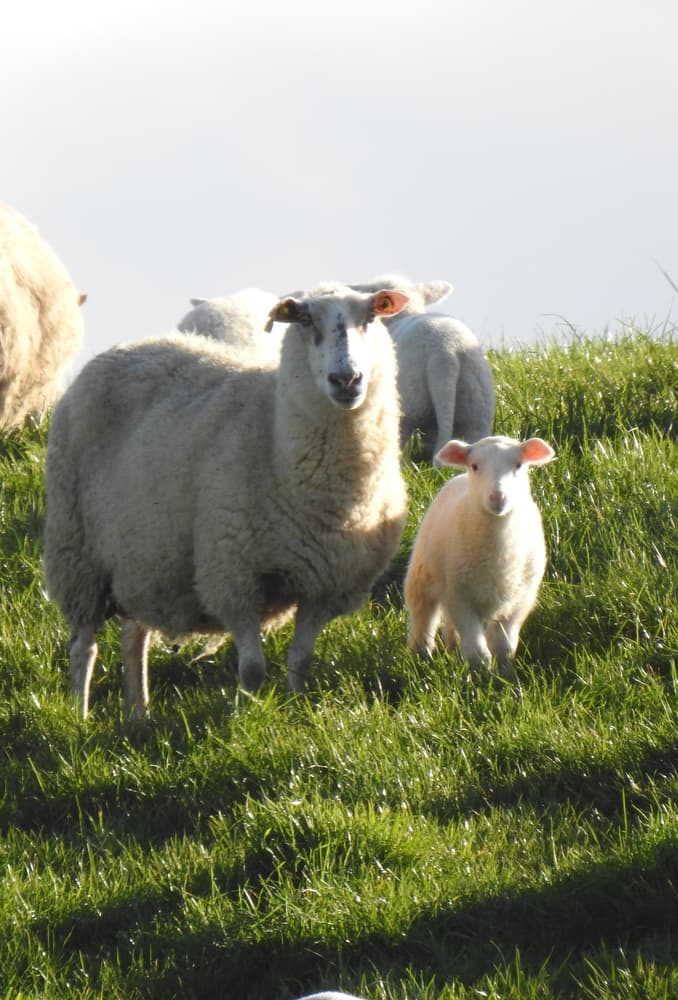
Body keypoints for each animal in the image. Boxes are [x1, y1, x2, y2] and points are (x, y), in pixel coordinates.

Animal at [44, 285, 410, 718]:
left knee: (134, 637)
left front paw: (296, 706)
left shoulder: (326, 584)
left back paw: (139, 713)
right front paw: (246, 714)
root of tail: (126, 346)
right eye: (304, 320)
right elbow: (252, 668)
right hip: (77, 553)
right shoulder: (235, 577)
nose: (346, 379)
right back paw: (79, 714)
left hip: (144, 557)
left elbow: (301, 660)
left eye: (370, 317)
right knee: (84, 646)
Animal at [404, 435, 555, 678]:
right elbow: (477, 650)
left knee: (451, 627)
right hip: (423, 575)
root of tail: (458, 477)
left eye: (518, 465)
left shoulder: (520, 600)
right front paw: (480, 677)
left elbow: (503, 646)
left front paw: (505, 676)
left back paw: (453, 651)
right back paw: (422, 656)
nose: (498, 498)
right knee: (423, 617)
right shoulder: (459, 597)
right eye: (475, 466)